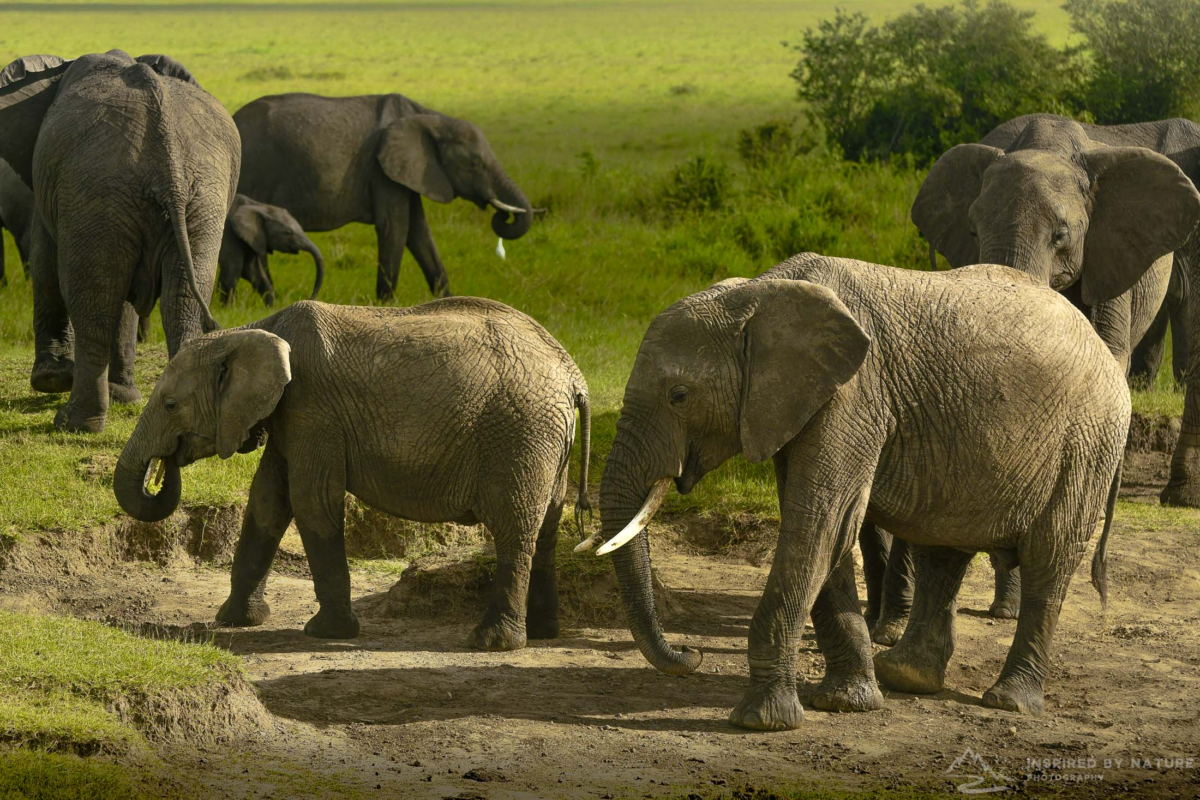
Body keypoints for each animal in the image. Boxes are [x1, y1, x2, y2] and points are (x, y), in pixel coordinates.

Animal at [0, 51, 240, 433]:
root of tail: (166, 157)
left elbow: (46, 263)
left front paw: (51, 380)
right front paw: (124, 397)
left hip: (98, 189)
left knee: (95, 303)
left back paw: (75, 423)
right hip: (200, 196)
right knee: (180, 302)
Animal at [114, 298, 592, 651]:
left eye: (171, 405)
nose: (166, 465)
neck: (250, 330)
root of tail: (574, 376)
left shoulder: (313, 409)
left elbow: (312, 501)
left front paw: (324, 633)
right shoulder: (292, 416)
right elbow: (267, 501)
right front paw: (234, 620)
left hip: (520, 434)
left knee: (514, 528)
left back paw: (492, 643)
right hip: (547, 441)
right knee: (547, 526)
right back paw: (544, 633)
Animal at [234, 93, 532, 301]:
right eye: (473, 164)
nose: (502, 215)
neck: (429, 117)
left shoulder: (409, 173)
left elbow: (419, 233)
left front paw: (450, 301)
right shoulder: (382, 171)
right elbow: (396, 227)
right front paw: (386, 304)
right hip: (252, 169)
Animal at [591, 254, 1127, 730]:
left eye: (679, 396)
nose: (693, 653)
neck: (761, 293)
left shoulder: (854, 397)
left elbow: (821, 523)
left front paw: (764, 721)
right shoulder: (798, 403)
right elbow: (825, 527)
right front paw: (846, 703)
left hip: (1088, 443)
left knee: (1047, 560)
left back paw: (1008, 702)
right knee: (944, 551)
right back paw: (906, 677)